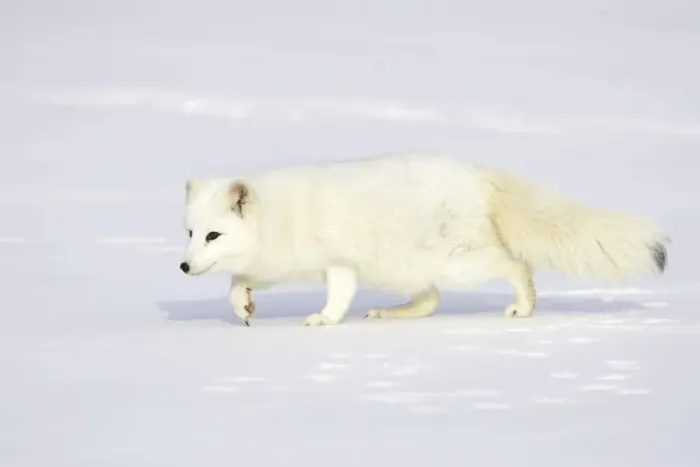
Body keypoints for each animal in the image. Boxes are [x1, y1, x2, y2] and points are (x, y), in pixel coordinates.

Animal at [179, 152, 668, 326]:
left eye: (213, 234)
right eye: (190, 233)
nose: (183, 266)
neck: (280, 216)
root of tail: (479, 173)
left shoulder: (339, 263)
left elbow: (337, 298)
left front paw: (323, 320)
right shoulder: (277, 263)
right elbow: (236, 284)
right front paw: (243, 308)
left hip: (459, 262)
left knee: (516, 264)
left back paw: (524, 306)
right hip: (406, 268)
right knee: (431, 301)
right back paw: (388, 313)